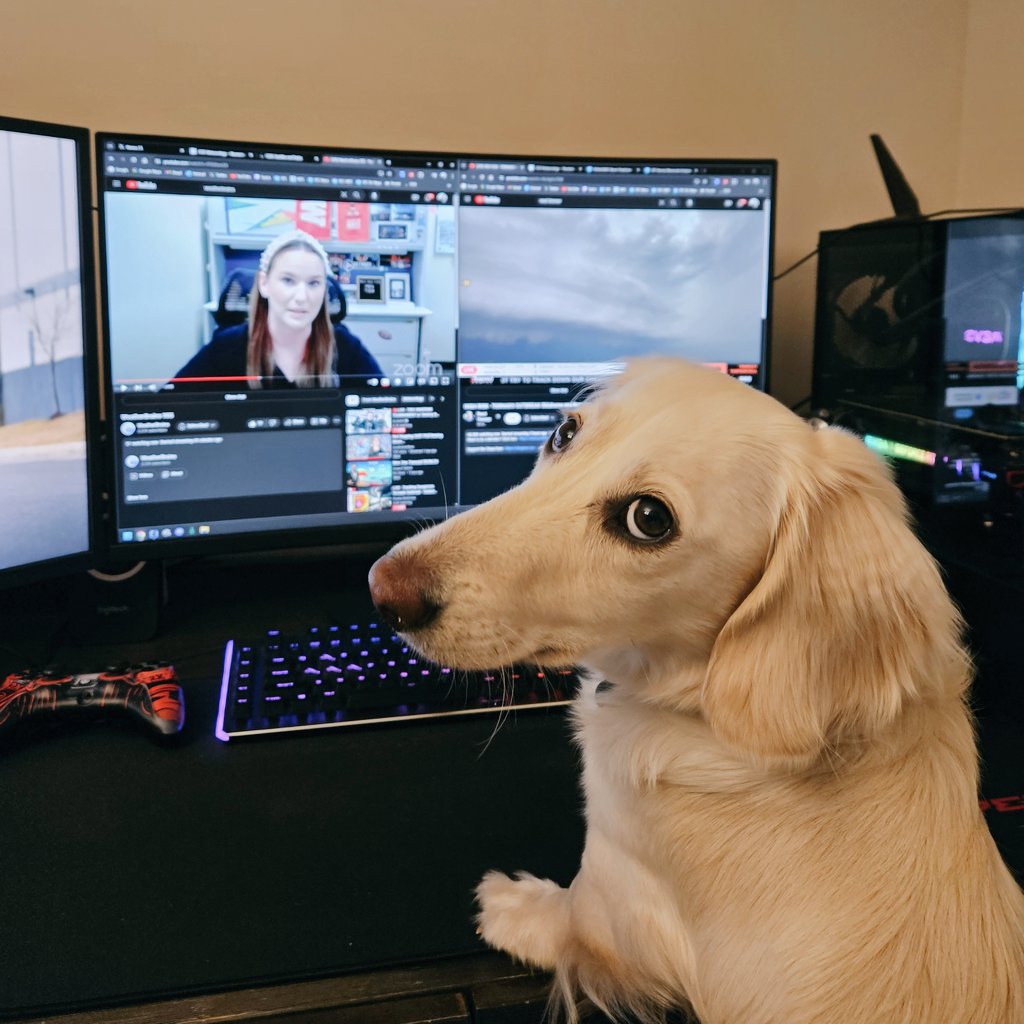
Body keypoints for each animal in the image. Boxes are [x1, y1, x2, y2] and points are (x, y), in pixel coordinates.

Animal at [368, 358, 1024, 1024]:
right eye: (563, 433)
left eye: (649, 519)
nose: (382, 590)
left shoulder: (618, 900)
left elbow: (570, 917)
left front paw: (510, 904)